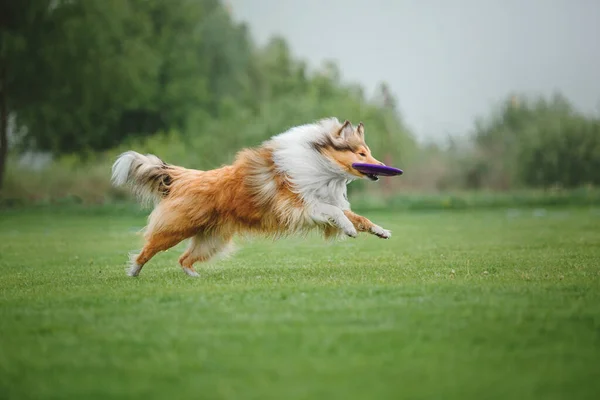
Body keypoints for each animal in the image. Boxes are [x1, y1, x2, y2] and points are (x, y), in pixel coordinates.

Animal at [111, 117, 394, 276]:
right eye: (361, 153)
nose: (382, 167)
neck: (320, 163)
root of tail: (185, 177)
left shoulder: (319, 201)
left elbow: (357, 216)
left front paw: (381, 231)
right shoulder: (300, 205)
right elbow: (338, 213)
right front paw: (349, 230)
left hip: (212, 240)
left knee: (184, 259)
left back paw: (194, 277)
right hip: (176, 228)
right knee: (148, 248)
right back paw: (133, 272)